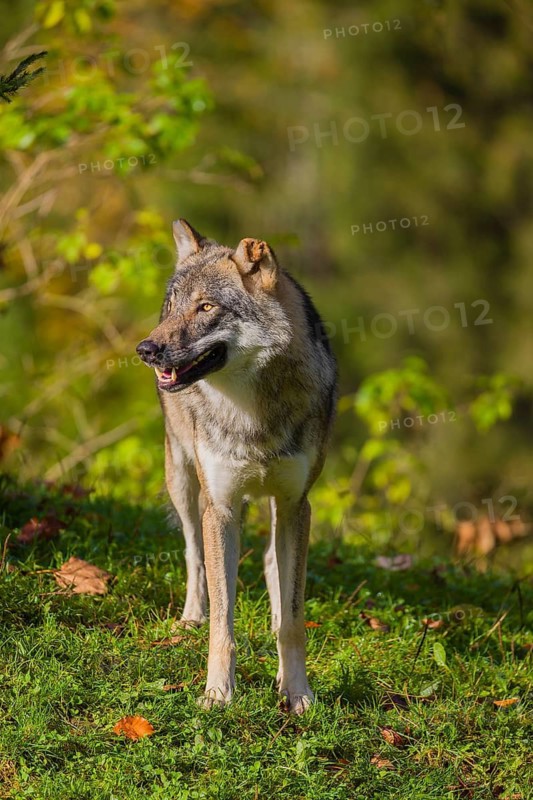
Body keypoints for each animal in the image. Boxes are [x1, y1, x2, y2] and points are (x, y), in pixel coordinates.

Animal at [136, 220, 337, 713]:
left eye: (206, 307)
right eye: (173, 306)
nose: (146, 349)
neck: (251, 414)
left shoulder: (296, 504)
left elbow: (294, 621)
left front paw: (297, 692)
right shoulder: (221, 506)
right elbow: (222, 621)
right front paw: (217, 693)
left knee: (270, 565)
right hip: (184, 485)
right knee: (193, 555)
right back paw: (190, 617)